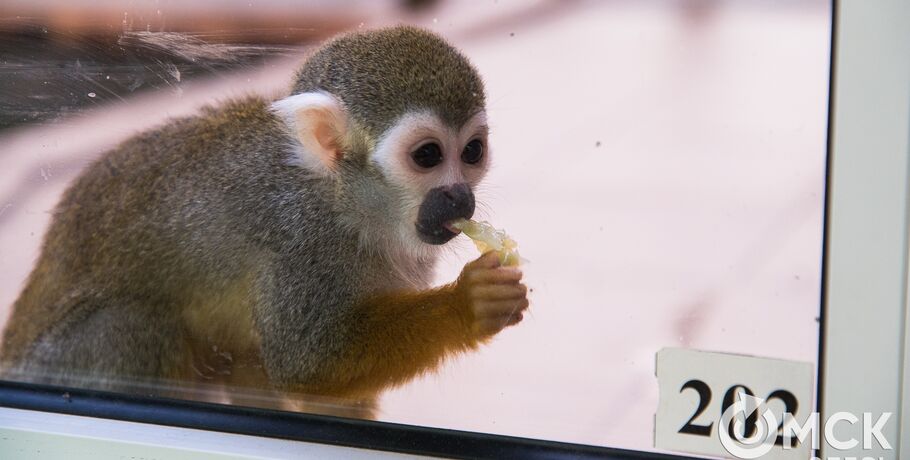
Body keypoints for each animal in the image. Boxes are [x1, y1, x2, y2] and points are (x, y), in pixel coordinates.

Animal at [1, 27, 528, 418]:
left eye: (472, 152)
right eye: (428, 156)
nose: (460, 197)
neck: (342, 201)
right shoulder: (299, 240)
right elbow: (307, 363)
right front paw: (469, 303)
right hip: (63, 363)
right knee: (134, 325)